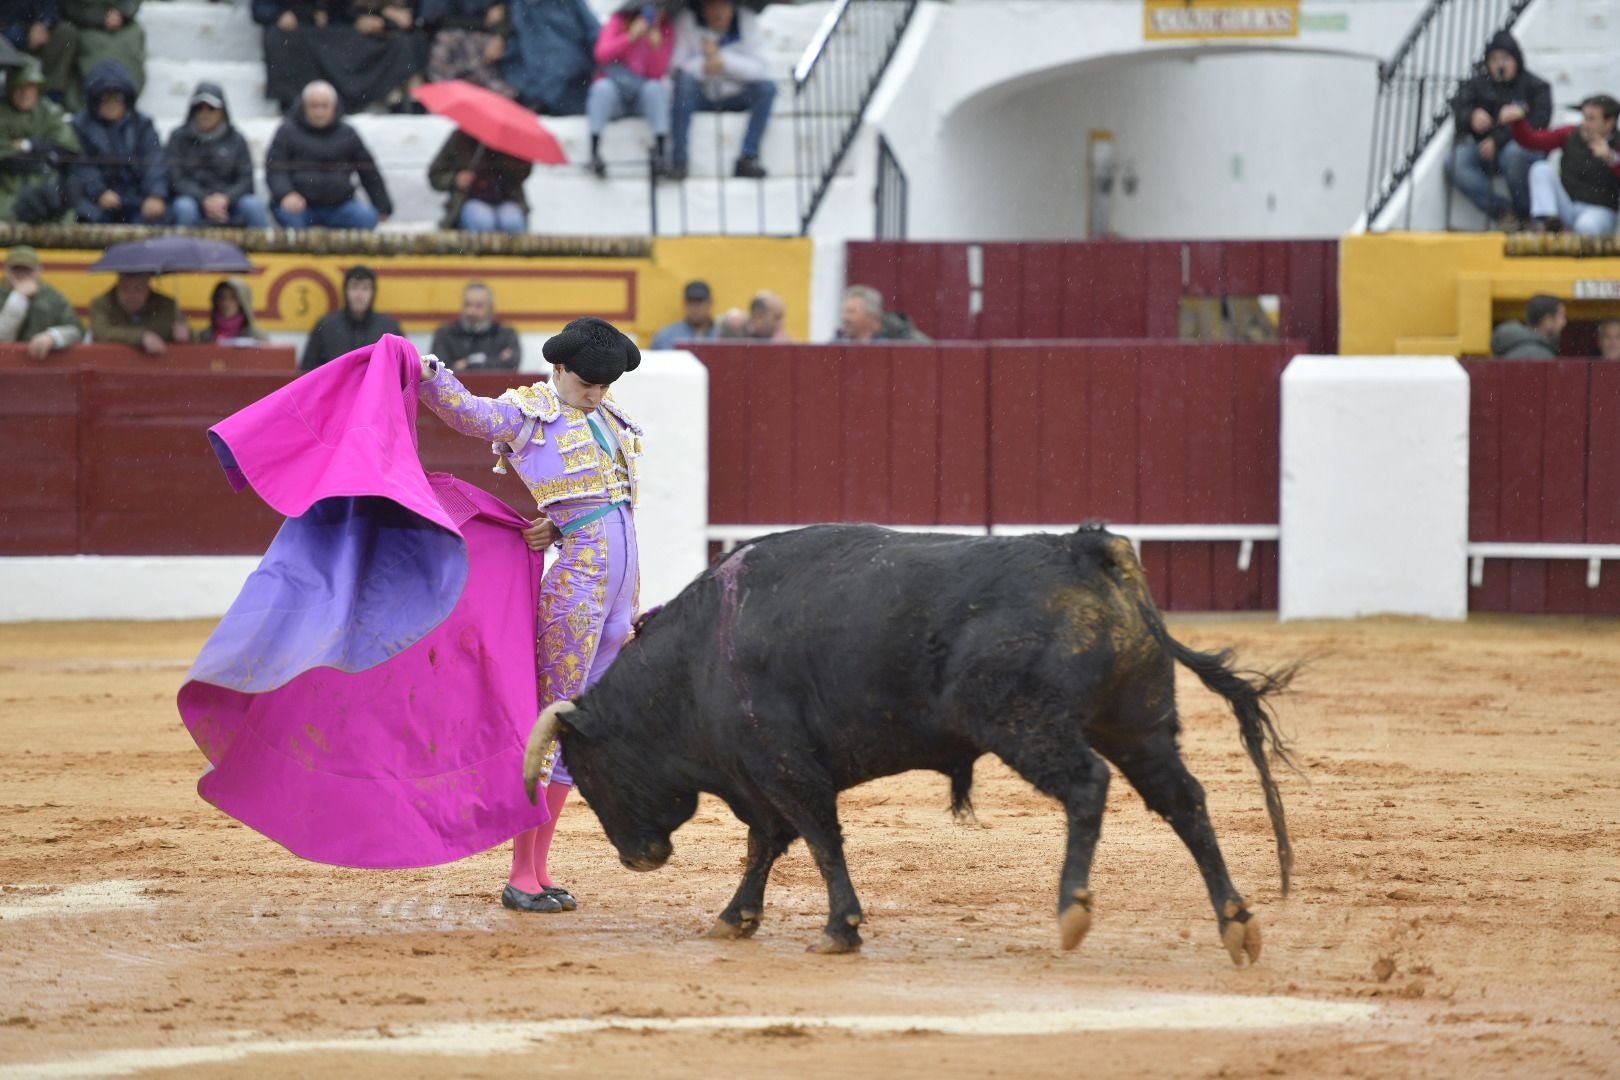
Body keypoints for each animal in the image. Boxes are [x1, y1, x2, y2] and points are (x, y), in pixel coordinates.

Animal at [524, 524, 1296, 965]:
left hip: (1027, 725)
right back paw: (1237, 923)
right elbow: (767, 845)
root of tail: (1085, 549)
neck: (695, 661)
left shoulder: (784, 767)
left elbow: (815, 839)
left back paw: (1072, 908)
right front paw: (736, 918)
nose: (637, 858)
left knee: (1088, 786)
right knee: (1184, 802)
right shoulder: (761, 776)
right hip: (1138, 725)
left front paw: (839, 928)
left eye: (586, 771)